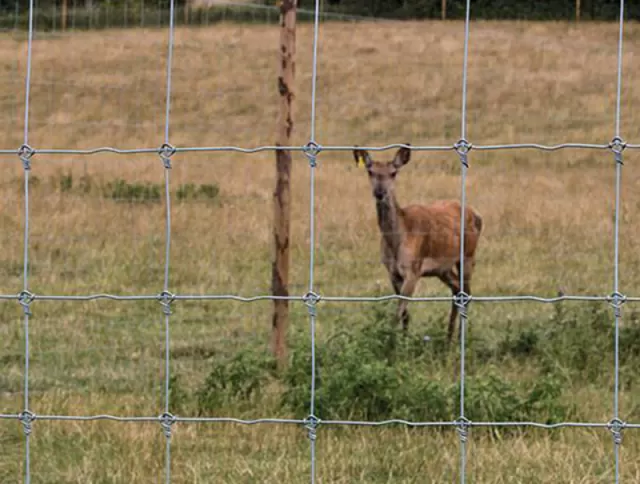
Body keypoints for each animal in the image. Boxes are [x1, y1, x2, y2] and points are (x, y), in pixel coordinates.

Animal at [352, 144, 482, 344]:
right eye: (370, 171)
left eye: (393, 173)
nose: (380, 193)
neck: (397, 241)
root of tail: (477, 215)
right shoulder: (392, 272)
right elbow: (405, 313)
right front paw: (402, 341)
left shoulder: (413, 269)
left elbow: (398, 312)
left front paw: (392, 344)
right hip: (443, 268)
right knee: (456, 289)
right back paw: (448, 339)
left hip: (468, 255)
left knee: (466, 292)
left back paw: (459, 338)